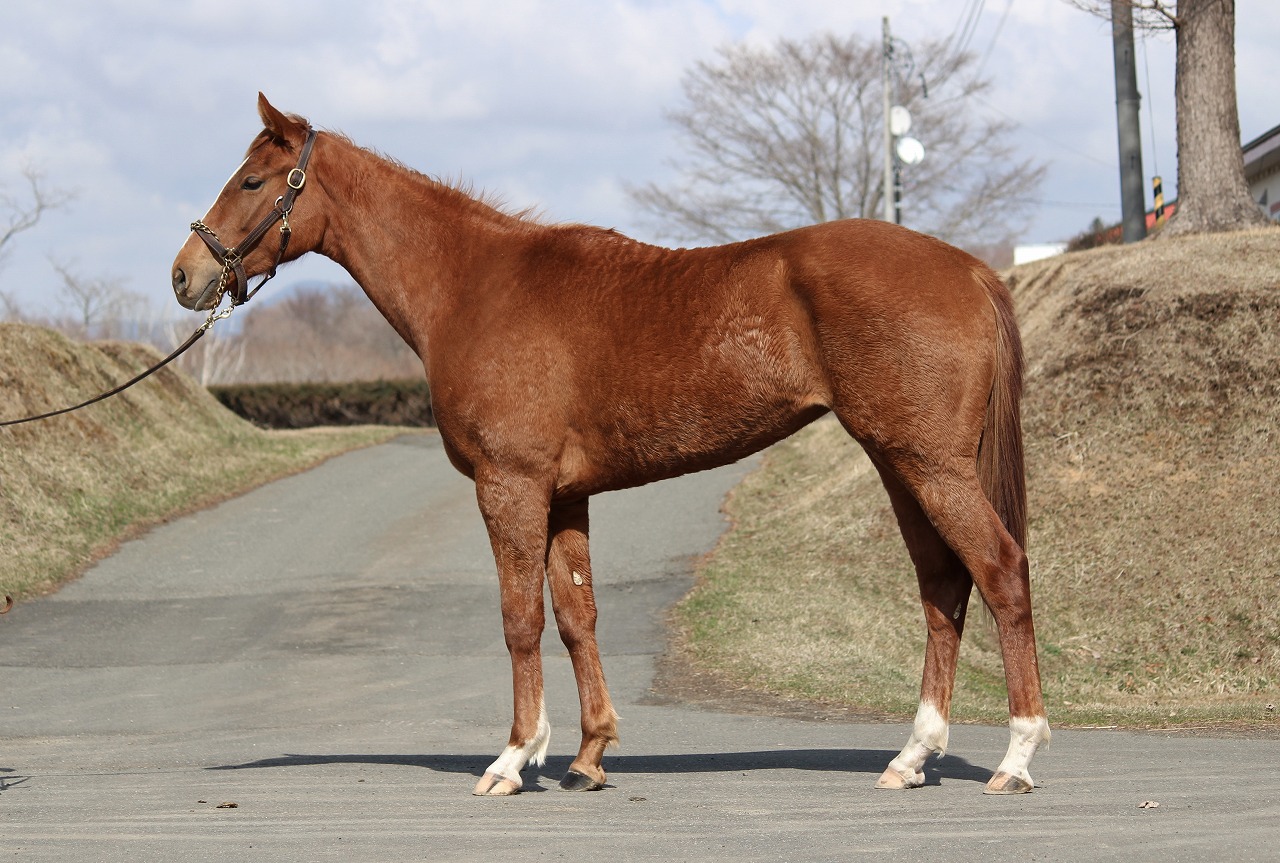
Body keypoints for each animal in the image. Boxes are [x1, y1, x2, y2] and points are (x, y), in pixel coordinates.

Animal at [171, 94, 1049, 797]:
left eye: (253, 181)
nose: (185, 275)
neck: (474, 284)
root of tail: (970, 271)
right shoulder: (565, 494)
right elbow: (576, 615)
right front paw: (589, 756)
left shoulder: (511, 484)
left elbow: (520, 616)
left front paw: (514, 756)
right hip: (902, 464)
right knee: (943, 586)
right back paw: (912, 755)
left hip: (928, 464)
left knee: (1000, 570)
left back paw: (1017, 756)